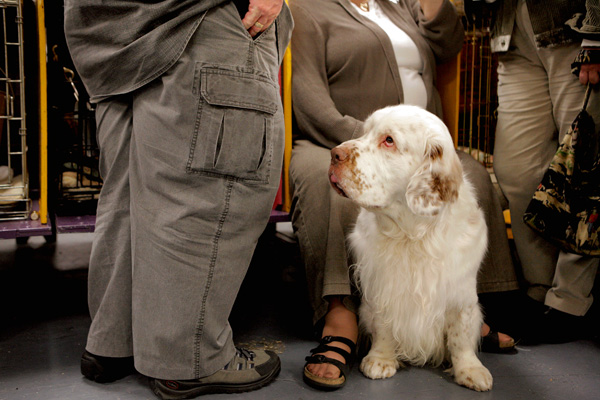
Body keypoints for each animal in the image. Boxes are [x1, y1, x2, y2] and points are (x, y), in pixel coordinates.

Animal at [328, 103, 492, 390]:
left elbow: (460, 335)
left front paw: (470, 369)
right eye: (366, 132)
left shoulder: (460, 293)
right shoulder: (383, 286)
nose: (335, 154)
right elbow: (384, 326)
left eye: (389, 140)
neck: (412, 233)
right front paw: (380, 360)